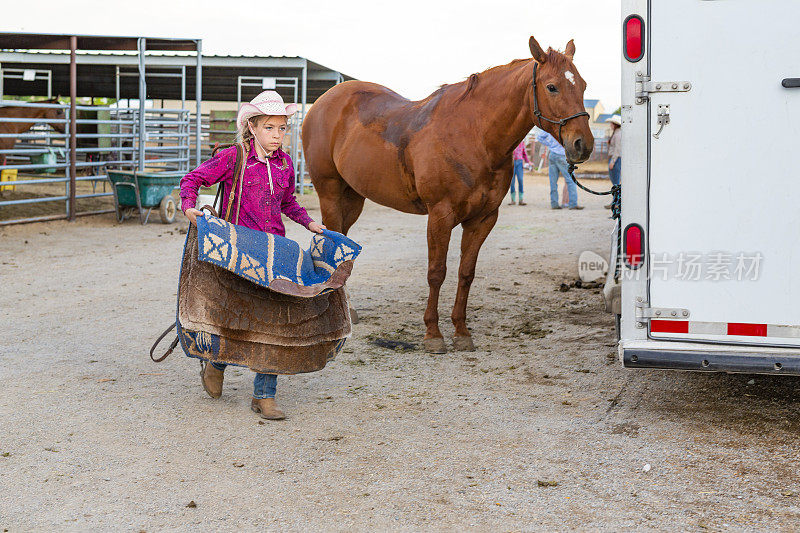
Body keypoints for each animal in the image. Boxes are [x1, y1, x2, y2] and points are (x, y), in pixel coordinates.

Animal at [304, 37, 592, 354]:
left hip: (353, 198)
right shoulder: (440, 216)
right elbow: (436, 272)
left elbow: (466, 273)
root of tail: (323, 102)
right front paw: (433, 334)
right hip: (330, 193)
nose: (583, 144)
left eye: (583, 85)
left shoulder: (483, 219)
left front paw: (461, 331)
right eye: (552, 87)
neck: (475, 135)